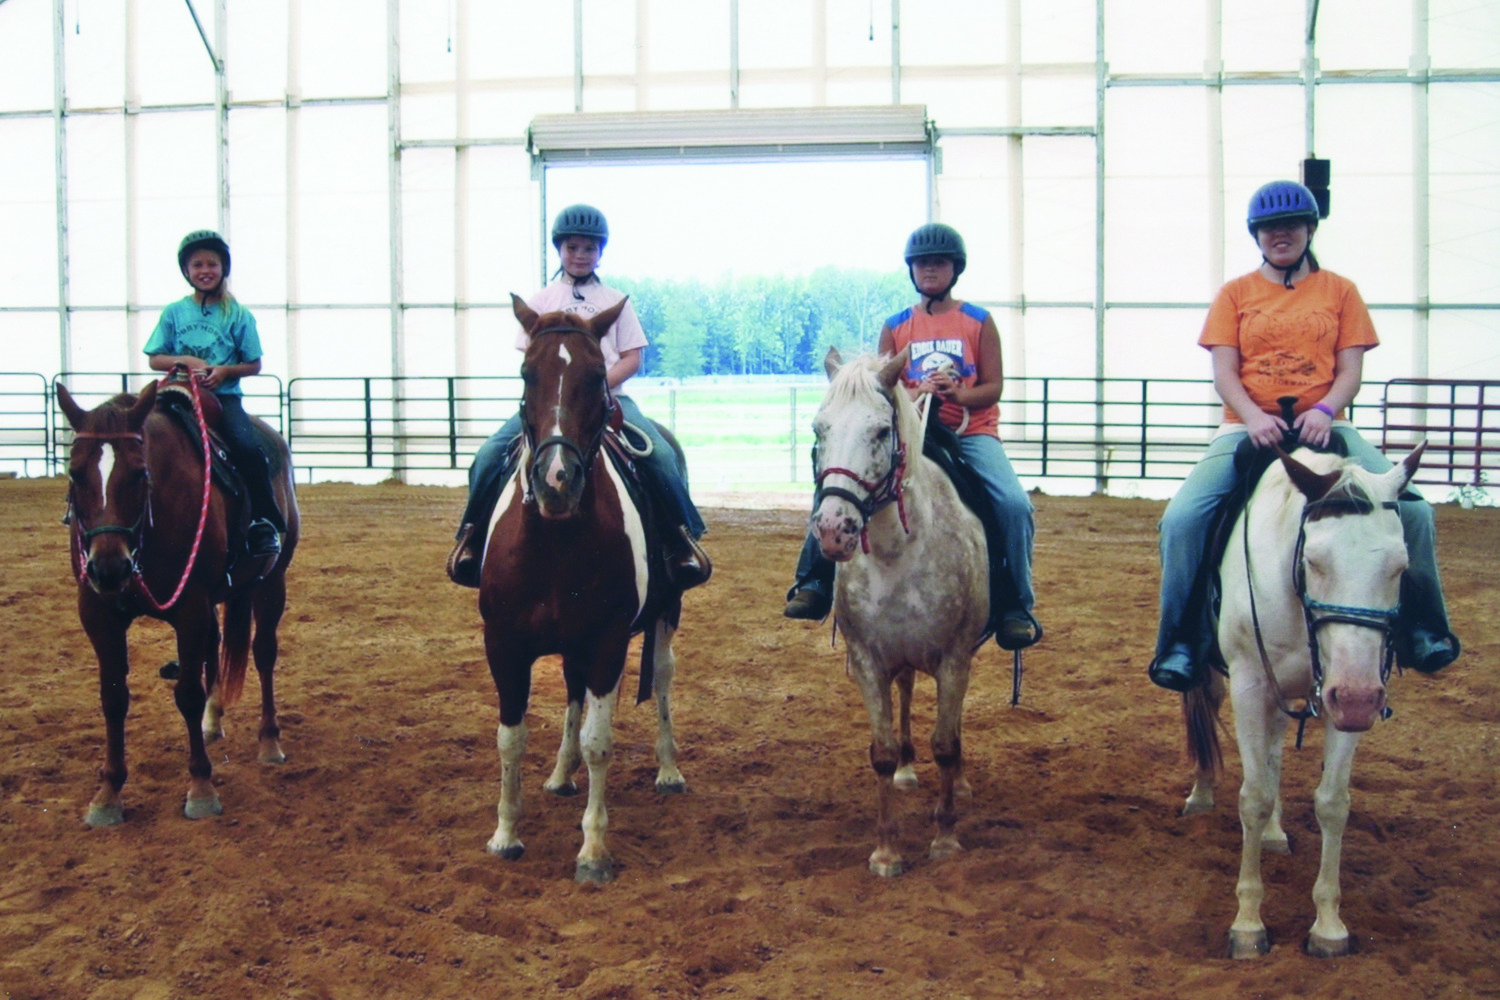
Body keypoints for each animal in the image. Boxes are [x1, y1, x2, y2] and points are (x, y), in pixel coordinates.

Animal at [56, 377, 295, 827]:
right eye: (74, 472)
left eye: (139, 472)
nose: (108, 568)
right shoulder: (97, 612)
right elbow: (113, 697)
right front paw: (108, 793)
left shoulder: (190, 608)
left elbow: (186, 693)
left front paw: (201, 788)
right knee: (215, 648)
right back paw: (213, 721)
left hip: (271, 582)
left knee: (264, 653)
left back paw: (269, 742)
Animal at [474, 290, 690, 881]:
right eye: (526, 374)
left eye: (597, 376)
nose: (556, 481)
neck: (555, 540)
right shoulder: (504, 643)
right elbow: (511, 738)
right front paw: (506, 833)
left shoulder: (606, 641)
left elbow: (600, 741)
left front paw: (594, 849)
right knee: (572, 693)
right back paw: (560, 774)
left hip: (666, 613)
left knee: (661, 678)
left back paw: (668, 770)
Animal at [804, 350, 990, 875]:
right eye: (819, 428)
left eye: (880, 431)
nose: (834, 529)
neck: (896, 552)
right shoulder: (868, 661)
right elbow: (882, 752)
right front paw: (886, 850)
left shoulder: (954, 659)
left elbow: (946, 745)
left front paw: (945, 838)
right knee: (905, 691)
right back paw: (909, 770)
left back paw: (962, 784)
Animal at [1188, 446, 1422, 959]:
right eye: (1314, 561)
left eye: (1401, 567)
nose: (1357, 699)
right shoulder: (1249, 686)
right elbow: (1253, 797)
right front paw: (1248, 923)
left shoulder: (1342, 698)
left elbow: (1332, 803)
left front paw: (1328, 926)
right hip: (1218, 680)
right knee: (1207, 720)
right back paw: (1200, 793)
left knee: (1275, 750)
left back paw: (1275, 833)